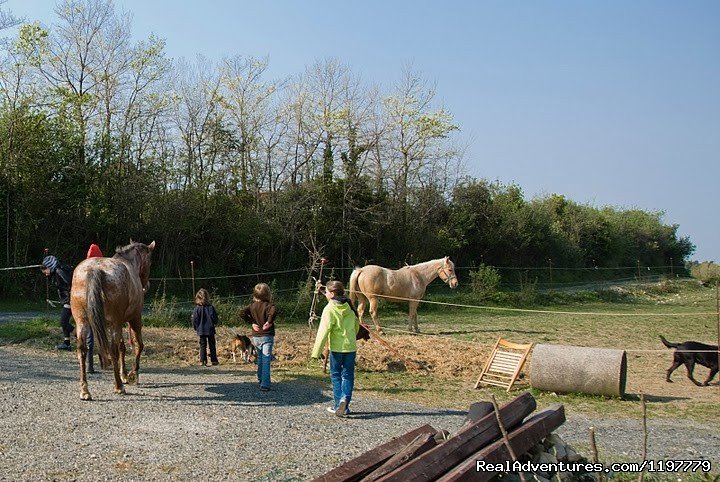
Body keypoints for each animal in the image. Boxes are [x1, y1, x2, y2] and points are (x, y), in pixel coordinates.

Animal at [70, 240, 155, 400]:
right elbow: (138, 345)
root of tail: (94, 270)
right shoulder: (134, 319)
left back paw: (85, 390)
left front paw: (124, 375)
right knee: (113, 350)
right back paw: (118, 386)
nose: (146, 285)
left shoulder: (118, 323)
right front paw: (133, 374)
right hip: (116, 323)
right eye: (150, 262)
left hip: (82, 323)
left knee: (82, 351)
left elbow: (122, 347)